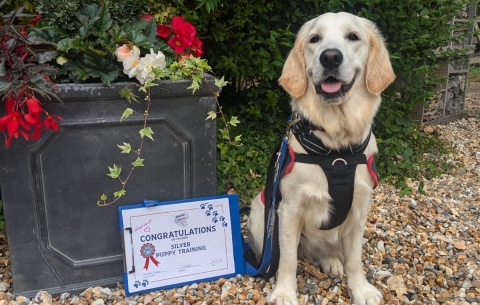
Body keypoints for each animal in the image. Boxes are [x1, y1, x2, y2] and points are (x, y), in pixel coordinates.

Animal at [248, 11, 394, 304]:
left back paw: (331, 261)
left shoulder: (359, 210)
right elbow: (287, 260)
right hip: (259, 217)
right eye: (315, 39)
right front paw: (284, 292)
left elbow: (354, 259)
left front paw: (360, 289)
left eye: (353, 36)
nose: (330, 57)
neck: (336, 151)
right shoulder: (289, 210)